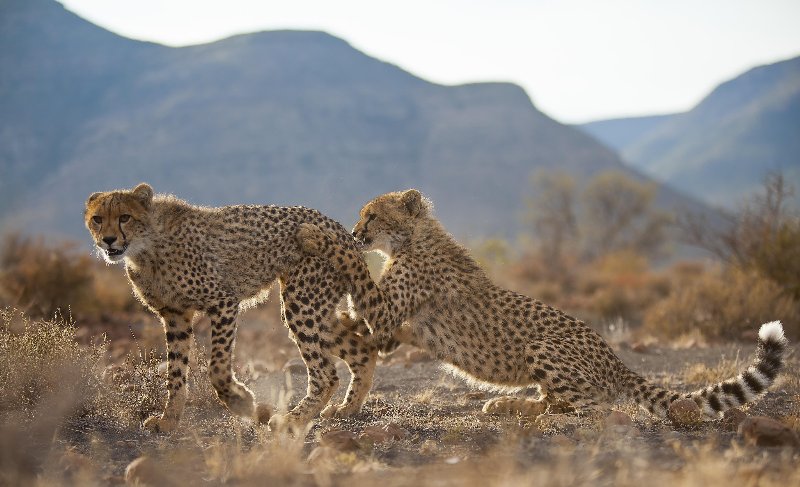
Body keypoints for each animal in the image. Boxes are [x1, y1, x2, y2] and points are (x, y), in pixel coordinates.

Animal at [84, 183, 378, 430]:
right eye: (97, 219)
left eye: (125, 217)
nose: (108, 240)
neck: (146, 248)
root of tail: (343, 231)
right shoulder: (175, 316)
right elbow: (175, 374)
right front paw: (169, 420)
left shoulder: (223, 302)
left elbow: (217, 367)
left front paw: (241, 401)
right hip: (316, 310)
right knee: (362, 350)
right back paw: (346, 408)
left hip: (302, 303)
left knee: (326, 373)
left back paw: (293, 419)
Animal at [298, 190, 788, 420]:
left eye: (372, 215)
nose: (357, 232)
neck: (413, 238)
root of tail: (614, 358)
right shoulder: (390, 328)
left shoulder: (386, 311)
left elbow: (357, 275)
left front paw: (315, 236)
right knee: (558, 401)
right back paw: (506, 406)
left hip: (546, 346)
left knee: (588, 407)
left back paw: (521, 411)